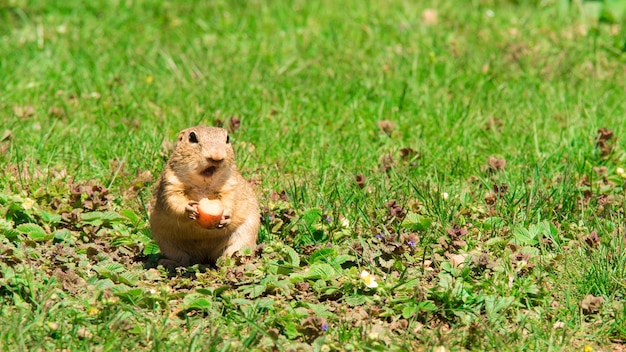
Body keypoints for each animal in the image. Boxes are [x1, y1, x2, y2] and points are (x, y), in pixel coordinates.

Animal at [149, 125, 258, 266]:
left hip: (244, 236)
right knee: (185, 259)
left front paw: (226, 217)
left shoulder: (230, 184)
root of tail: (206, 255)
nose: (216, 156)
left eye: (227, 138)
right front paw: (189, 209)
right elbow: (173, 201)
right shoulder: (170, 183)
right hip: (168, 243)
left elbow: (230, 200)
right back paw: (169, 263)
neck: (203, 184)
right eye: (192, 137)